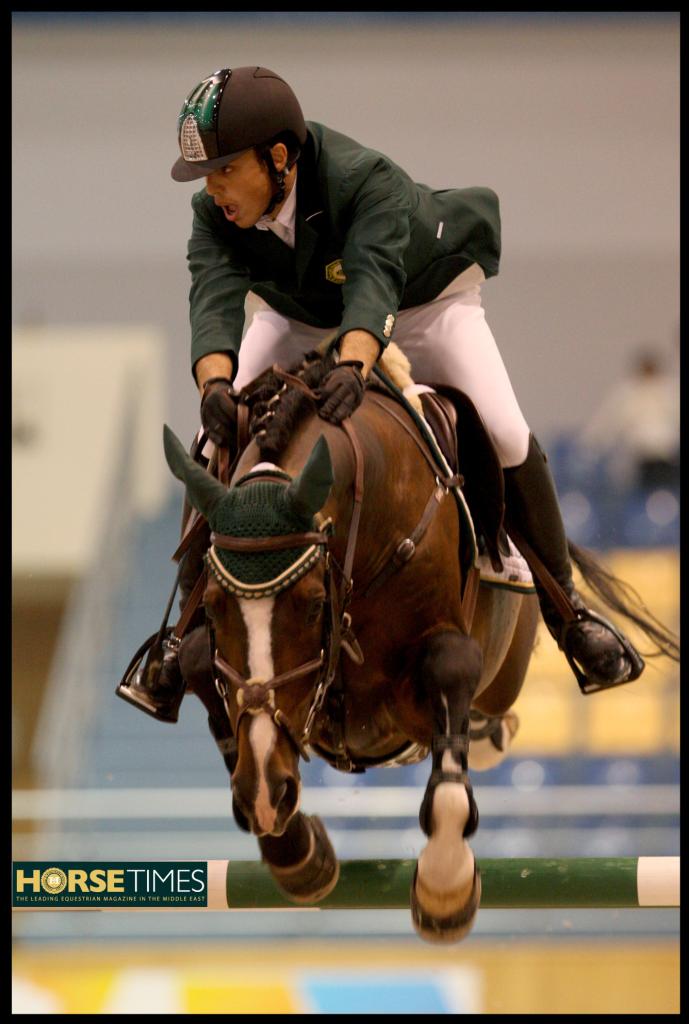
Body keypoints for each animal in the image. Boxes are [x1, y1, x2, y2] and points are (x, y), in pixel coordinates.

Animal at [162, 350, 678, 943]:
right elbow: (206, 675)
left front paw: (444, 885)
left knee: (486, 712)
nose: (271, 794)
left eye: (314, 605)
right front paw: (293, 847)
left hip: (506, 669)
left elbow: (449, 706)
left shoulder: (440, 656)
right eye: (215, 607)